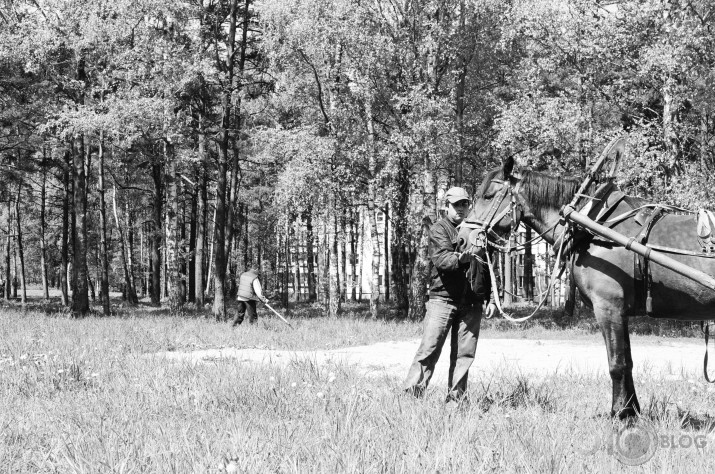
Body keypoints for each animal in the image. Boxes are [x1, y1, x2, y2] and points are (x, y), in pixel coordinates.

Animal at [458, 156, 715, 418]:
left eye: (488, 195)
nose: (462, 238)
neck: (591, 227)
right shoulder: (620, 312)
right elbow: (628, 361)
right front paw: (631, 410)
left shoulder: (608, 308)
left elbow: (617, 364)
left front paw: (619, 414)